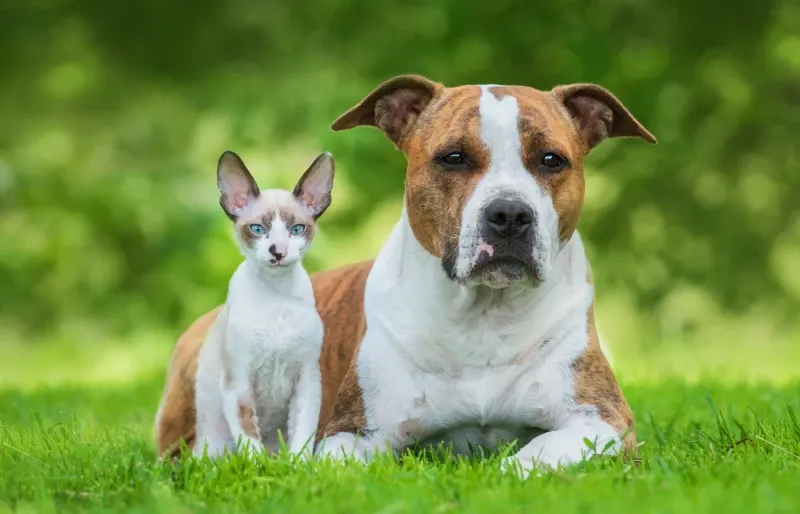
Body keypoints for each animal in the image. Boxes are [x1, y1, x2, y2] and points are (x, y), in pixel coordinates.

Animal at [156, 74, 656, 474]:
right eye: (453, 157)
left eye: (551, 160)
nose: (510, 214)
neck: (485, 316)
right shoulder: (350, 432)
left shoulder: (603, 420)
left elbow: (536, 452)